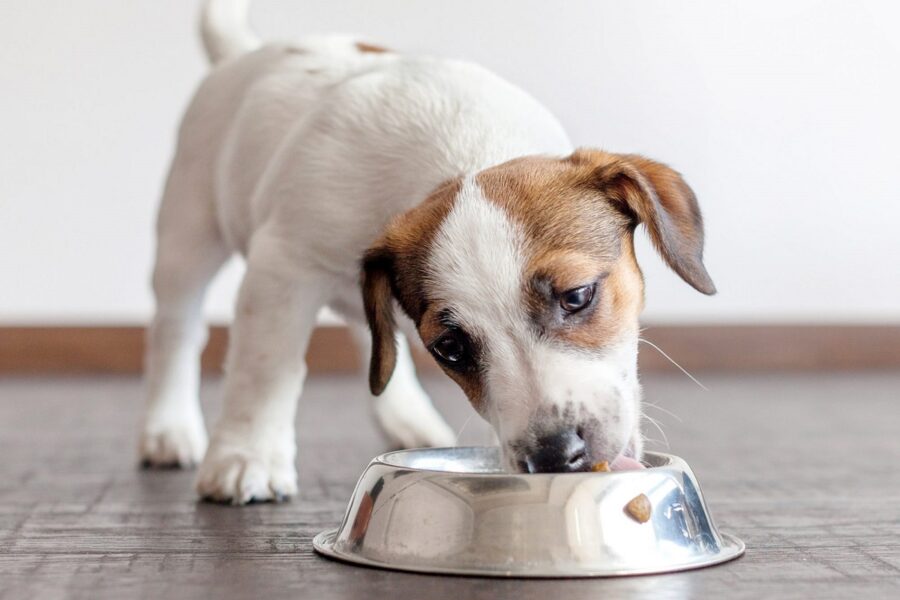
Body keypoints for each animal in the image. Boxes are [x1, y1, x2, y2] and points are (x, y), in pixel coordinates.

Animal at [141, 0, 712, 504]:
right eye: (450, 348)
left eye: (577, 296)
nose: (552, 456)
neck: (464, 150)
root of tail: (243, 53)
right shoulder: (281, 267)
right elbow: (265, 369)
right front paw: (246, 457)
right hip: (187, 235)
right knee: (177, 330)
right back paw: (168, 427)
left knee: (375, 338)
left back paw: (408, 417)